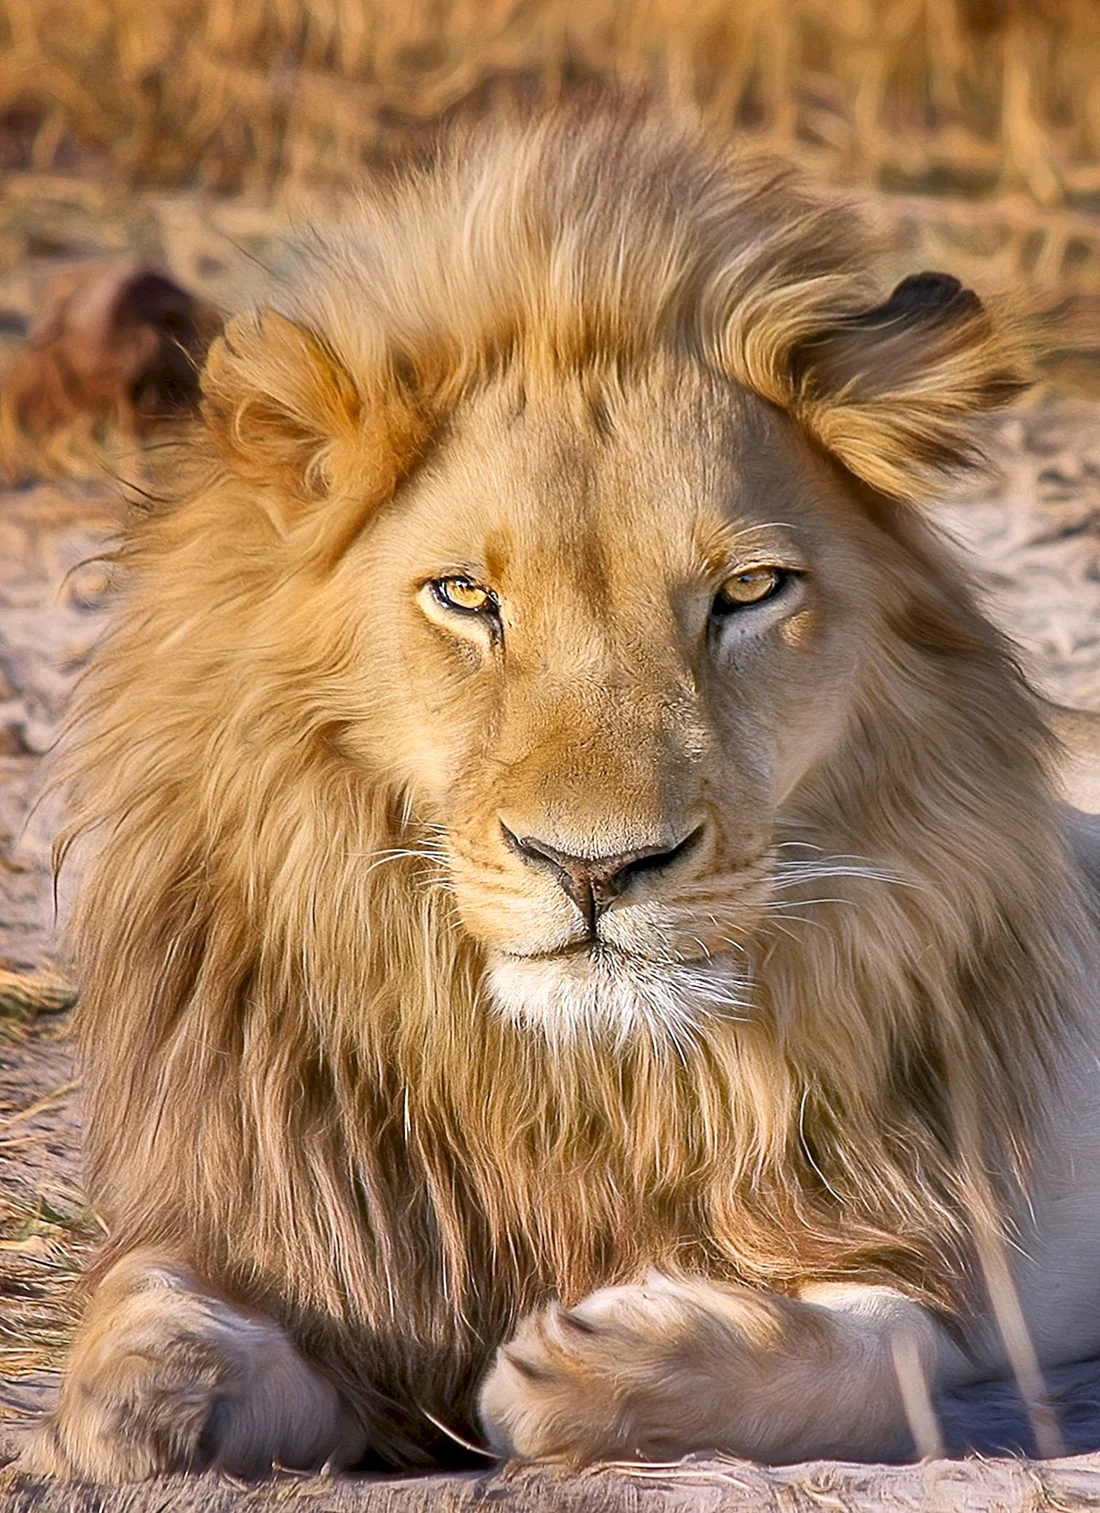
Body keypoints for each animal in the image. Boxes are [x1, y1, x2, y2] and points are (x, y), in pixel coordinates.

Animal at [23, 100, 1100, 1481]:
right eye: (464, 596)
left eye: (749, 591)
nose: (595, 868)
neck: (571, 1082)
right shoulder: (316, 1235)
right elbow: (151, 1297)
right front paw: (132, 1388)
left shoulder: (938, 1248)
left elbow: (873, 1351)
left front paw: (599, 1363)